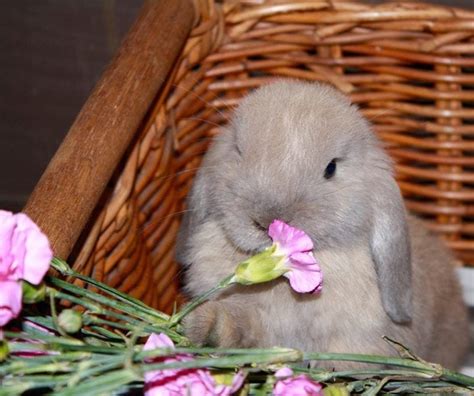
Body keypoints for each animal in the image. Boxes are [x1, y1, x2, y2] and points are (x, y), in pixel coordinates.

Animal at [175, 79, 470, 370]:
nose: (267, 220)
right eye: (238, 152)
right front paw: (207, 327)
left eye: (331, 168)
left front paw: (330, 369)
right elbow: (240, 322)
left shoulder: (359, 338)